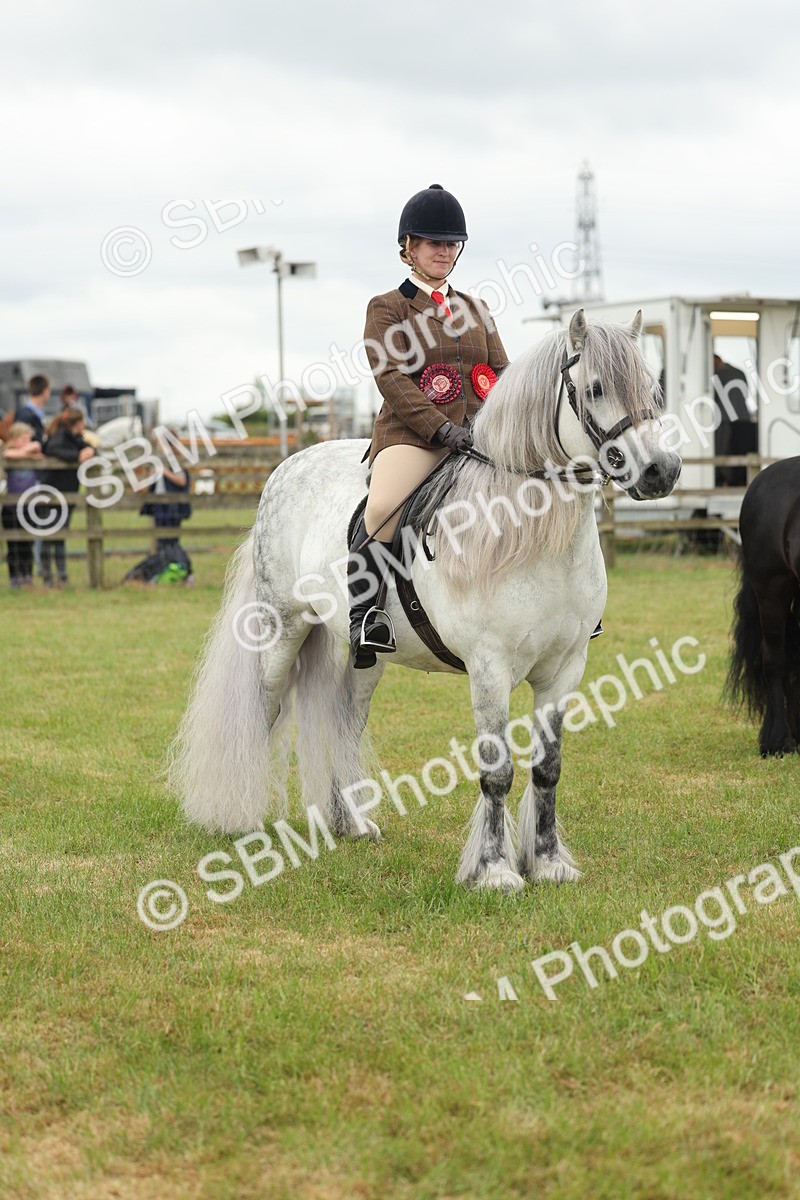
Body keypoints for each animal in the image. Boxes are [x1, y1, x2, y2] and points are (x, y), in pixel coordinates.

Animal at [169, 309, 682, 892]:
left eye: (655, 389)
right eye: (595, 388)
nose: (661, 471)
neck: (529, 535)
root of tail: (286, 467)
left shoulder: (566, 667)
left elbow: (547, 767)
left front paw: (550, 864)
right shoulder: (489, 668)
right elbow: (497, 769)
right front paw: (496, 871)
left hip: (367, 651)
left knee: (347, 716)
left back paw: (353, 824)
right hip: (283, 630)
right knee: (264, 709)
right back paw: (247, 820)